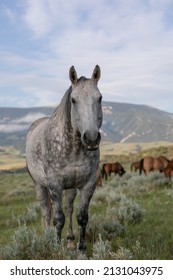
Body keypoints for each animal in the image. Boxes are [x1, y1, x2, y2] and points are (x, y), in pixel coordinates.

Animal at [25, 65, 102, 252]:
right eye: (73, 100)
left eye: (100, 98)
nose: (91, 138)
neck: (72, 149)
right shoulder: (55, 185)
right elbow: (58, 219)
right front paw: (55, 247)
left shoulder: (88, 185)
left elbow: (82, 217)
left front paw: (81, 249)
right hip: (39, 184)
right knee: (46, 212)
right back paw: (47, 239)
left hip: (70, 188)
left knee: (69, 209)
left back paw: (70, 241)